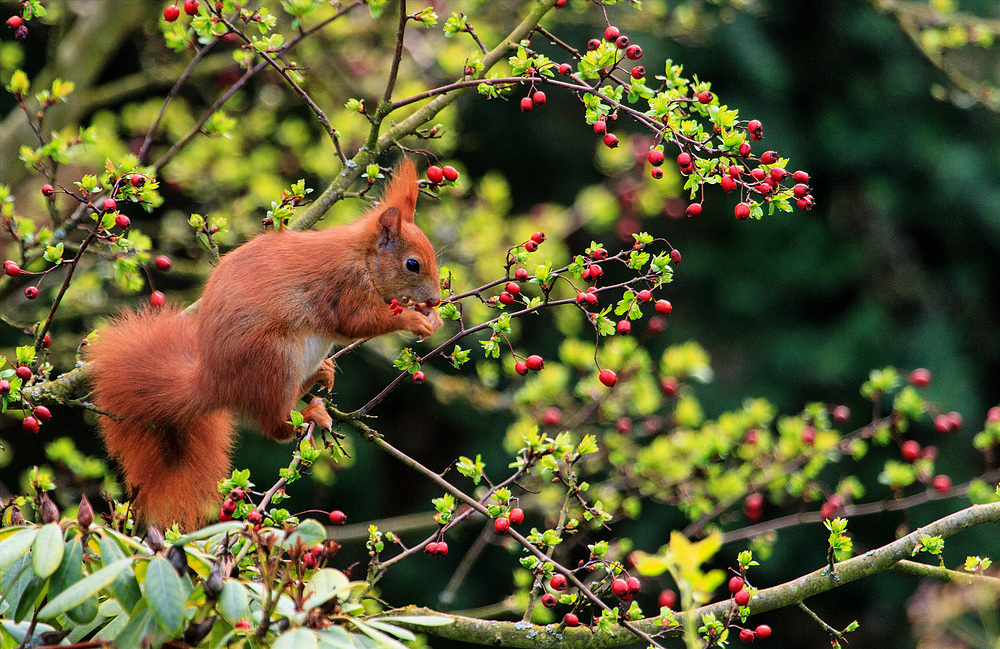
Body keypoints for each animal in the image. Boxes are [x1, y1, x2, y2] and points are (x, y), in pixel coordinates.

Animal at [87, 161, 442, 528]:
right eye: (412, 264)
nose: (435, 299)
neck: (363, 257)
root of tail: (213, 383)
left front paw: (431, 318)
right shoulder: (344, 289)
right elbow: (357, 323)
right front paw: (415, 320)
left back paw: (319, 376)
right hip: (274, 359)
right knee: (275, 426)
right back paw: (309, 412)